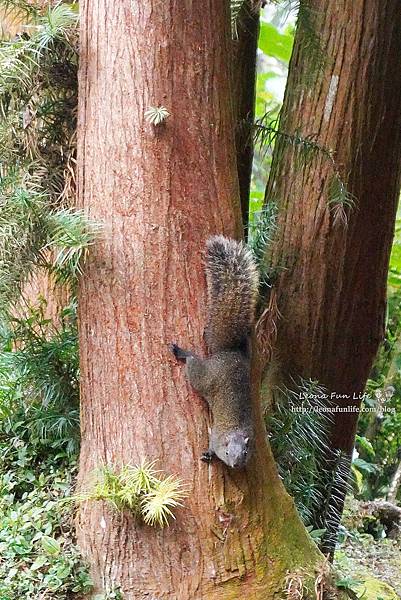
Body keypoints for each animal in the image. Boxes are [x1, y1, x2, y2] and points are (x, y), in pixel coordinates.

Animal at [170, 234, 258, 468]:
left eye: (245, 452)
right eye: (227, 452)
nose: (236, 465)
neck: (234, 432)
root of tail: (229, 352)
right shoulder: (217, 435)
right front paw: (209, 453)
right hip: (205, 377)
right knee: (193, 363)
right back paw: (183, 353)